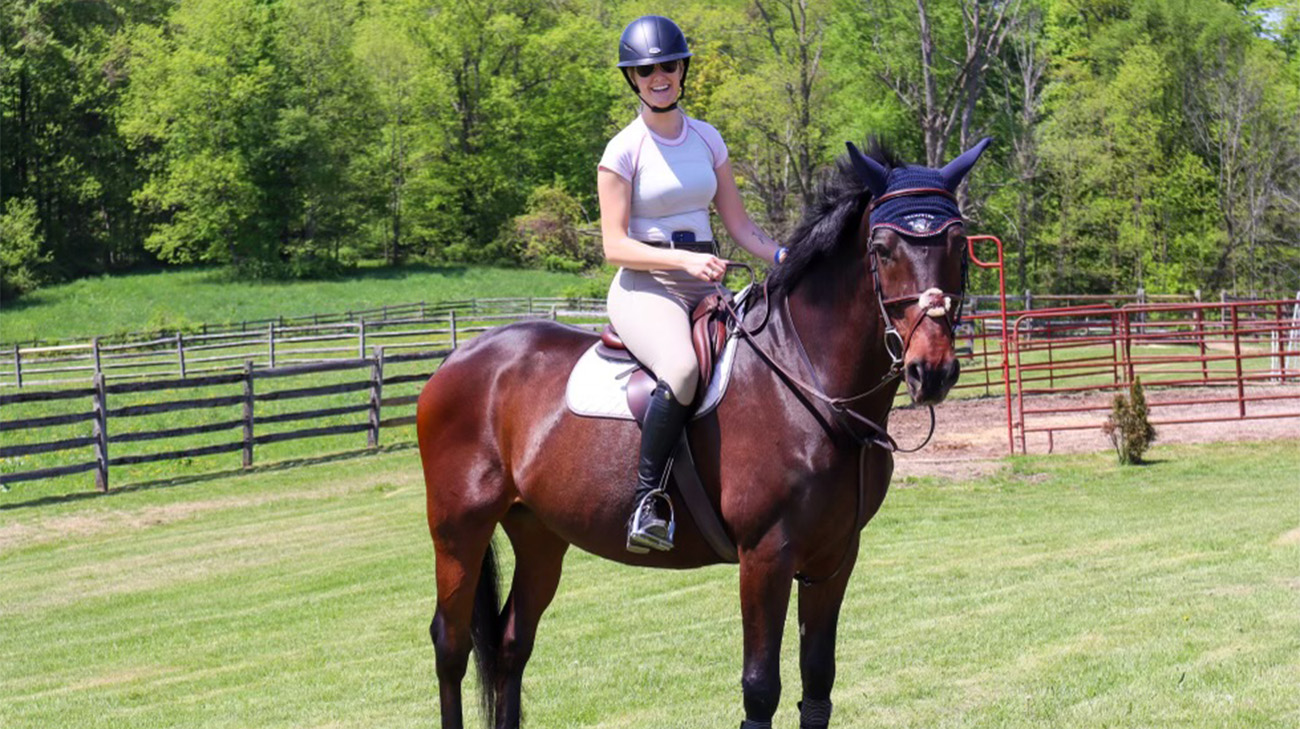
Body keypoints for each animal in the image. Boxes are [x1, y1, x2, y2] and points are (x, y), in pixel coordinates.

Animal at [421, 135, 987, 722]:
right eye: (881, 248)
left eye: (957, 243)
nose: (932, 370)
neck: (807, 380)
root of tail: (460, 357)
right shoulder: (765, 556)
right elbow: (761, 688)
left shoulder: (834, 556)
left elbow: (818, 681)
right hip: (458, 529)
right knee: (451, 646)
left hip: (539, 533)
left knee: (513, 644)